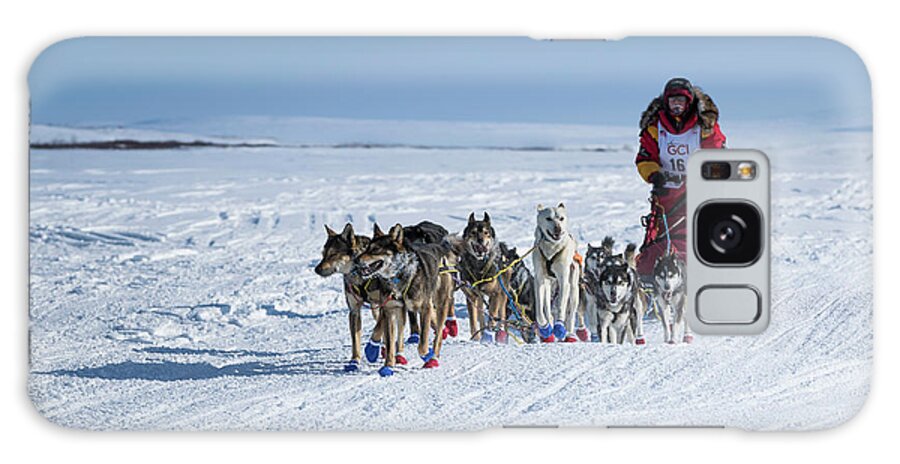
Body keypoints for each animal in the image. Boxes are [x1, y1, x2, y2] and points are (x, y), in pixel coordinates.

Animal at [356, 224, 458, 376]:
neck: (399, 276)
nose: (356, 260)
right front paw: (388, 366)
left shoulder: (424, 308)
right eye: (367, 247)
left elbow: (422, 343)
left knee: (439, 333)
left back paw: (434, 356)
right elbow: (390, 343)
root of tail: (441, 246)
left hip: (441, 303)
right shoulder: (390, 310)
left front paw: (427, 355)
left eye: (376, 249)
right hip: (403, 311)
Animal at [536, 203, 584, 340]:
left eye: (561, 218)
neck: (552, 248)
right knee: (548, 309)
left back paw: (569, 333)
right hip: (548, 287)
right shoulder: (539, 280)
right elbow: (539, 310)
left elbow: (562, 306)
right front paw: (545, 327)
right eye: (548, 218)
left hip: (574, 290)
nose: (558, 228)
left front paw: (559, 327)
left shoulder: (564, 280)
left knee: (571, 314)